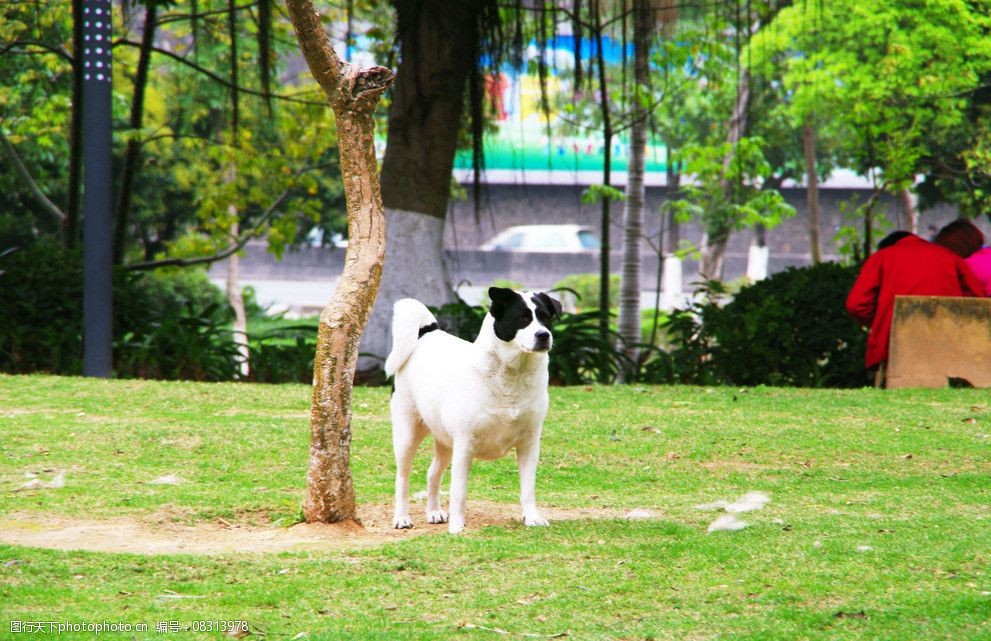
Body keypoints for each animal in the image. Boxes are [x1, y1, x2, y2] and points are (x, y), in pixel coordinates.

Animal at [384, 288, 560, 532]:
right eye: (523, 318)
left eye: (545, 317)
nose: (543, 335)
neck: (511, 376)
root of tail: (427, 334)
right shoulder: (465, 444)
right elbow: (459, 492)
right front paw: (457, 527)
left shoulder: (529, 444)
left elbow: (528, 488)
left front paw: (532, 517)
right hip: (407, 435)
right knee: (402, 477)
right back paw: (401, 517)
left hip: (445, 442)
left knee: (432, 473)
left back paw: (434, 511)